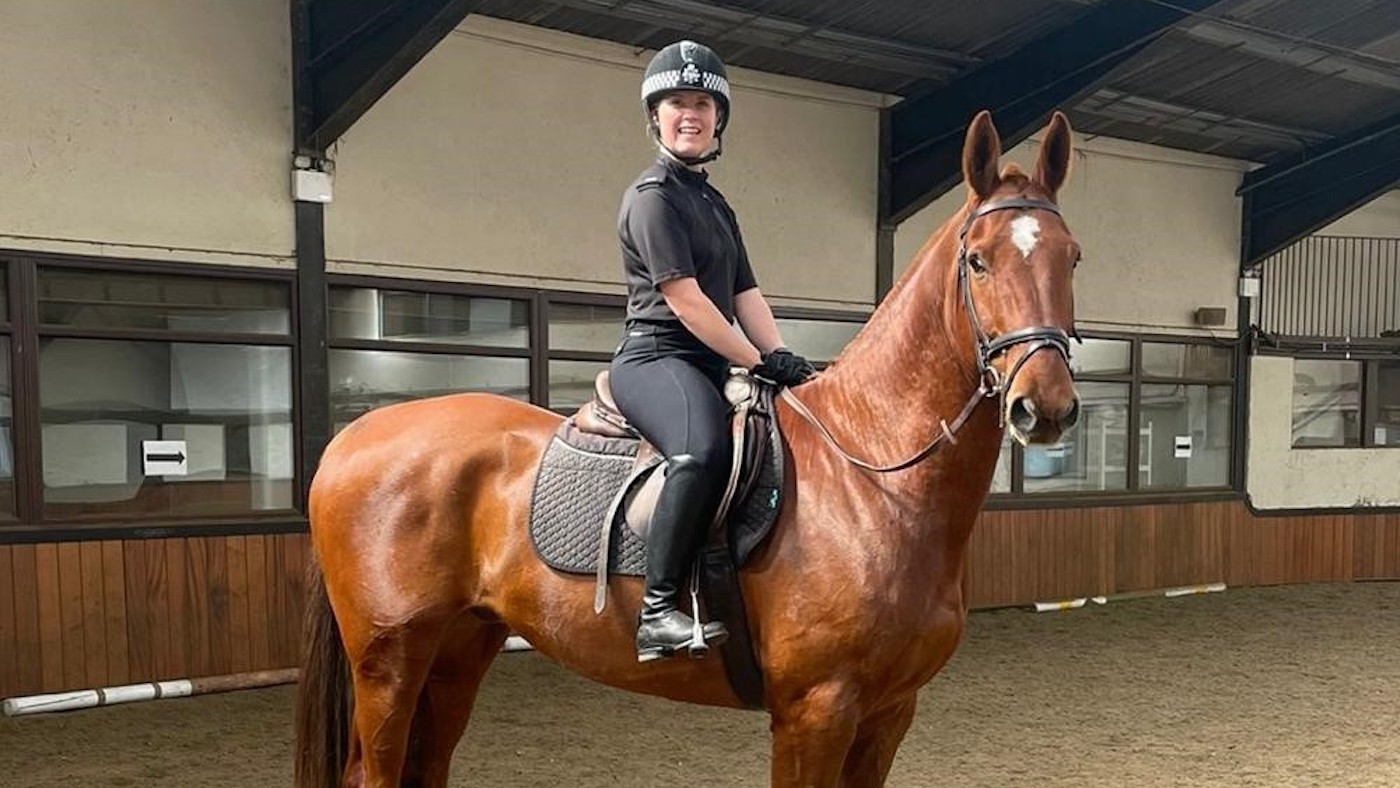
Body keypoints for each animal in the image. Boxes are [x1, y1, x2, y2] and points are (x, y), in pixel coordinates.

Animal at [295, 109, 1082, 788]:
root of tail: (354, 437)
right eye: (977, 262)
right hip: (390, 659)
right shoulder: (816, 711)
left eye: (1072, 258)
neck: (871, 478)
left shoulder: (890, 712)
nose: (1043, 408)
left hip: (459, 648)